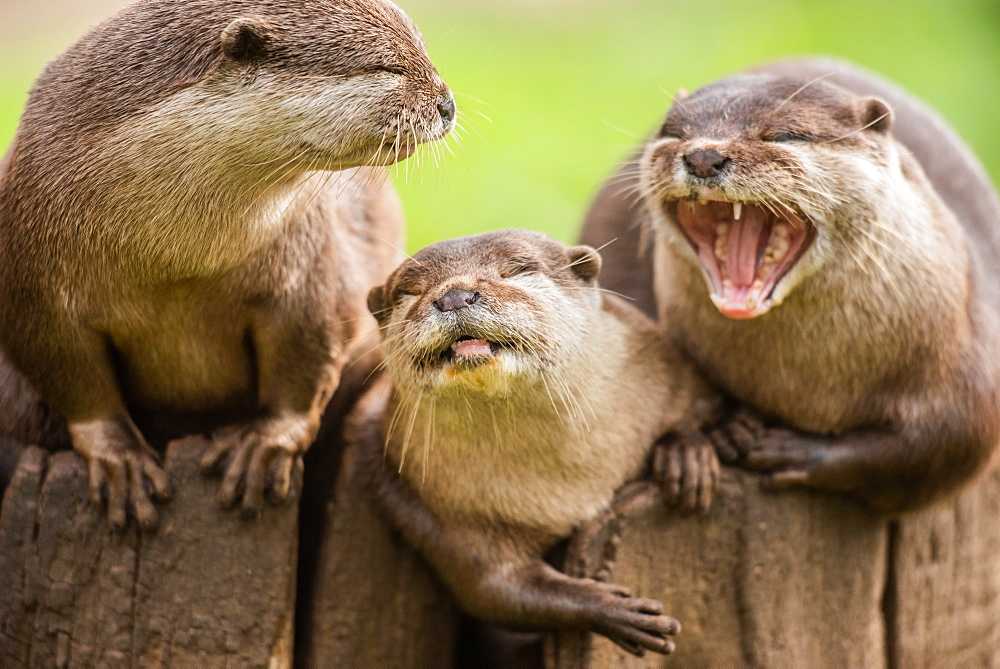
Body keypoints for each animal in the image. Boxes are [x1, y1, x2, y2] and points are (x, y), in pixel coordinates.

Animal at [0, 0, 454, 528]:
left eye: (424, 53)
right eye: (388, 67)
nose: (447, 104)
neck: (174, 259)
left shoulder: (312, 273)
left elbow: (308, 361)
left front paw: (262, 448)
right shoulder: (35, 290)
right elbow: (71, 376)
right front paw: (121, 463)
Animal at [360, 228, 720, 652]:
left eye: (517, 271)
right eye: (409, 292)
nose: (454, 296)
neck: (568, 482)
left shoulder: (665, 363)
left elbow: (706, 398)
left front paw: (687, 455)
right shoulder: (437, 509)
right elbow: (496, 589)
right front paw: (614, 610)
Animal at [580, 61, 1000, 512]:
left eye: (783, 135)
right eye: (673, 132)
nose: (703, 156)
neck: (800, 382)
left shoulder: (969, 363)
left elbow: (938, 449)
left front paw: (796, 452)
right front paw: (698, 445)